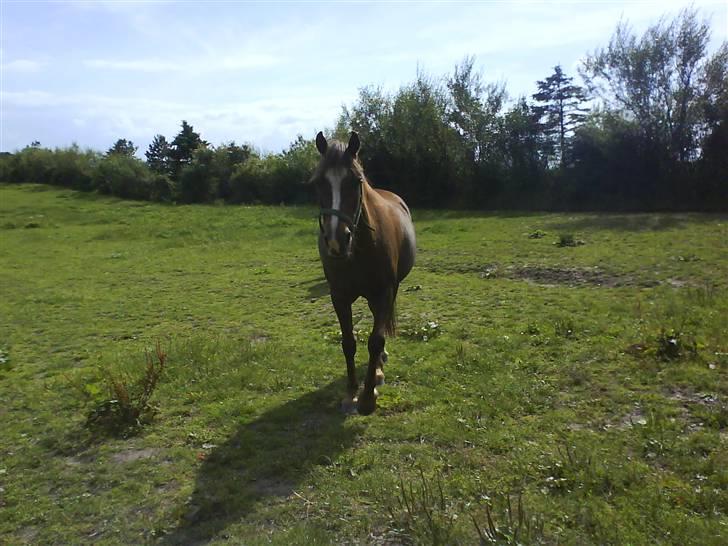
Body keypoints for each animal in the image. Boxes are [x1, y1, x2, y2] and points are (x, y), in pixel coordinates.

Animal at [311, 131, 416, 415]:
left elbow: (375, 340)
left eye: (355, 181)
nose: (336, 241)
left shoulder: (384, 292)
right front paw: (351, 394)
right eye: (317, 182)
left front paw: (368, 397)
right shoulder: (339, 296)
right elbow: (348, 342)